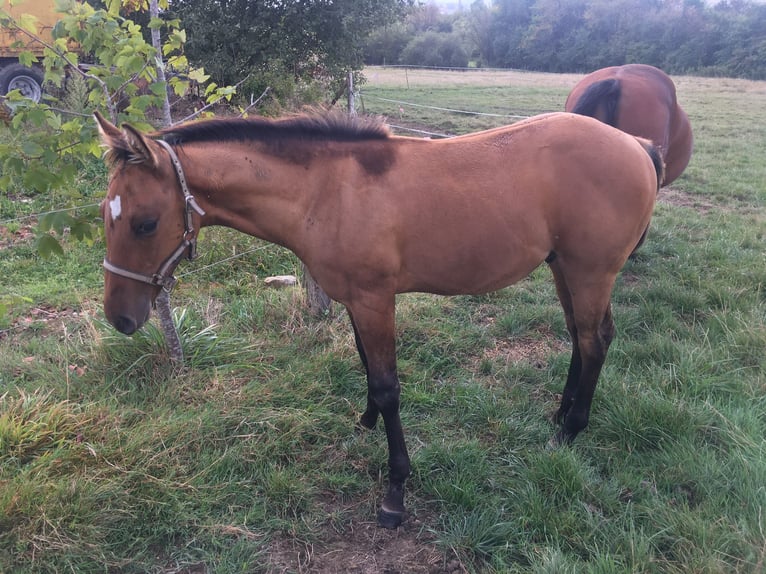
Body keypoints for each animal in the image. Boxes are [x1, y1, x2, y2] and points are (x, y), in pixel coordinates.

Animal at [93, 111, 664, 532]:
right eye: (105, 214)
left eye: (145, 223)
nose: (120, 318)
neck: (328, 191)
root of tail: (638, 145)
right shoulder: (353, 299)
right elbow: (367, 366)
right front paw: (364, 421)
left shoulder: (375, 300)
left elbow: (389, 385)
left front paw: (395, 493)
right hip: (563, 266)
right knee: (579, 337)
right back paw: (559, 415)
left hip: (590, 271)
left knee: (595, 340)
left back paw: (571, 429)